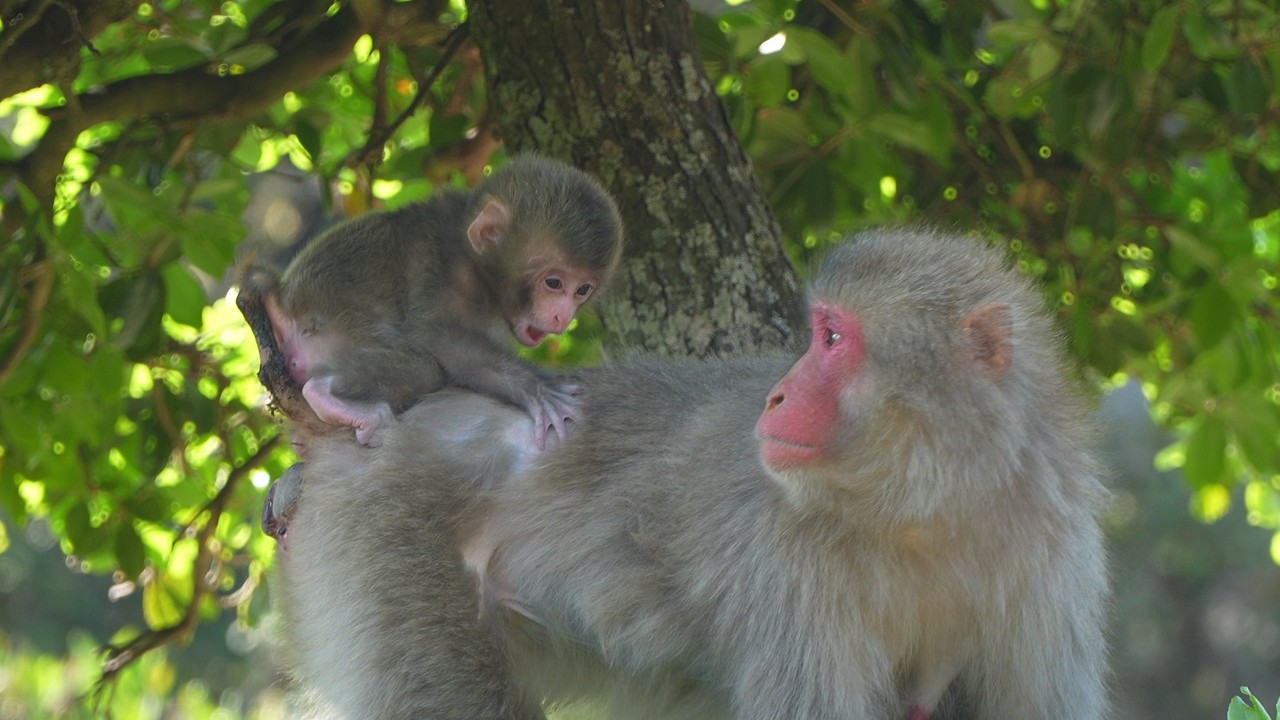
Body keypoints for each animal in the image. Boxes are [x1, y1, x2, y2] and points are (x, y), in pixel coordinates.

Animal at [240, 154, 623, 451]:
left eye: (582, 289)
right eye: (553, 282)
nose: (563, 317)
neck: (479, 269)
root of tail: (286, 307)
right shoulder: (440, 265)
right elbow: (436, 336)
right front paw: (539, 390)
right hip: (329, 331)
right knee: (420, 368)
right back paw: (330, 396)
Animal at [276, 229, 1110, 719]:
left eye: (832, 339)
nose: (778, 392)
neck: (921, 512)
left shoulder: (1054, 552)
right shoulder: (787, 574)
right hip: (390, 537)